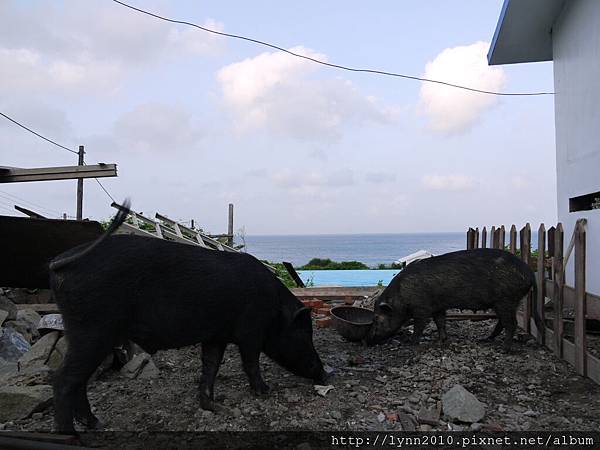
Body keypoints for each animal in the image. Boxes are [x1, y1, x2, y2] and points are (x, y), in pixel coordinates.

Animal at [48, 202, 328, 434]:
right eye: (305, 334)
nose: (325, 374)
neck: (275, 310)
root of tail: (61, 262)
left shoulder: (216, 335)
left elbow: (211, 365)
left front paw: (212, 406)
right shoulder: (250, 331)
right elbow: (250, 361)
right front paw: (264, 392)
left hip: (87, 332)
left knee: (79, 379)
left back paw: (95, 423)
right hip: (92, 329)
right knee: (64, 380)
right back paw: (73, 434)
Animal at [366, 250, 540, 352]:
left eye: (376, 318)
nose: (368, 340)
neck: (401, 296)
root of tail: (529, 272)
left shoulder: (422, 307)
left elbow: (420, 325)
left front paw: (411, 343)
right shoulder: (438, 306)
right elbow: (440, 322)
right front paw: (442, 341)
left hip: (506, 299)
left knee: (511, 323)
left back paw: (504, 349)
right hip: (507, 302)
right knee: (502, 323)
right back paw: (485, 339)